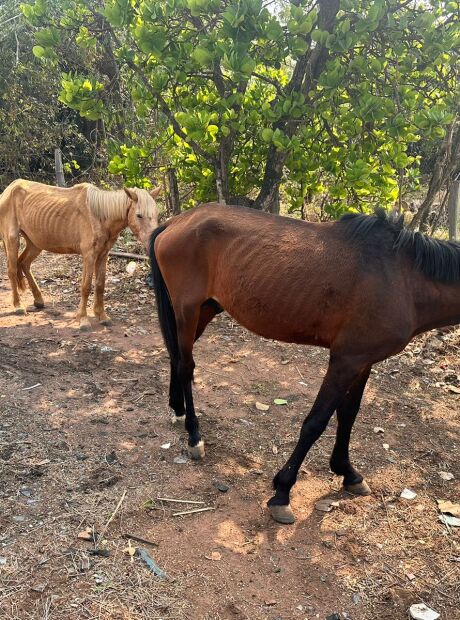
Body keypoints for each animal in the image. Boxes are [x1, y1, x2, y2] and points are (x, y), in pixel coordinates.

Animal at [0, 178, 161, 330]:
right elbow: (86, 287)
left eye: (156, 215)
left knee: (24, 263)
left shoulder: (103, 255)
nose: (153, 242)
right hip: (12, 239)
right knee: (12, 270)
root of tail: (8, 190)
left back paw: (39, 300)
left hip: (35, 243)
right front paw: (83, 320)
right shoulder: (89, 256)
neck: (99, 217)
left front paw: (102, 316)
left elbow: (100, 285)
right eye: (139, 215)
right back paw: (18, 306)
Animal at [151, 205, 460, 524]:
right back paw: (194, 435)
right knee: (186, 366)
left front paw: (348, 473)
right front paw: (282, 492)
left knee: (176, 357)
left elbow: (348, 415)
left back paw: (178, 410)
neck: (403, 278)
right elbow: (316, 422)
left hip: (206, 309)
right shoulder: (345, 361)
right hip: (187, 310)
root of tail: (175, 223)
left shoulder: (363, 361)